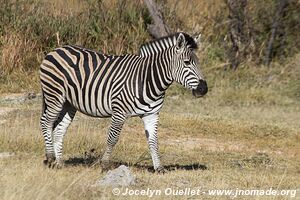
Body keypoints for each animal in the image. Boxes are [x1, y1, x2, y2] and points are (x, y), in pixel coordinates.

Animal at [39, 32, 207, 173]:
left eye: (198, 63)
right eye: (187, 62)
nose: (203, 89)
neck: (147, 79)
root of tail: (56, 49)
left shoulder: (152, 114)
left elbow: (153, 141)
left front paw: (159, 168)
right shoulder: (119, 112)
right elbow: (112, 138)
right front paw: (104, 165)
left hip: (69, 104)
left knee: (59, 129)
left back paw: (60, 163)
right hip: (54, 96)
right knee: (46, 122)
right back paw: (50, 157)